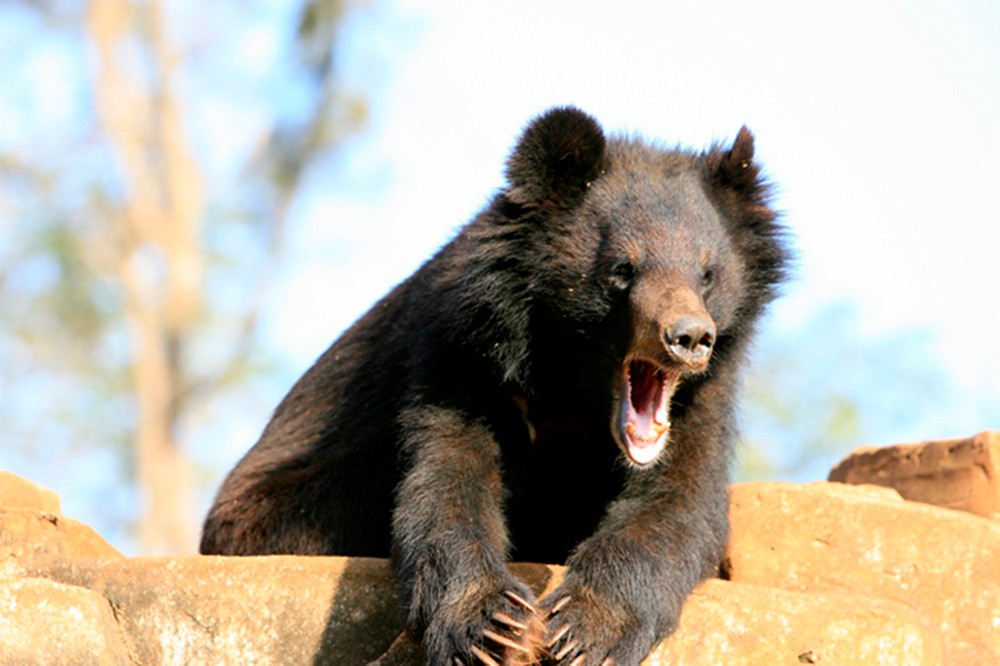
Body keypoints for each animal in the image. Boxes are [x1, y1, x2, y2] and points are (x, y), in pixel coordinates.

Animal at [203, 106, 788, 660]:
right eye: (622, 270)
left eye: (708, 275)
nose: (689, 338)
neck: (573, 389)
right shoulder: (459, 354)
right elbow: (448, 480)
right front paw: (491, 626)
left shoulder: (703, 397)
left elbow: (679, 500)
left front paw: (583, 630)